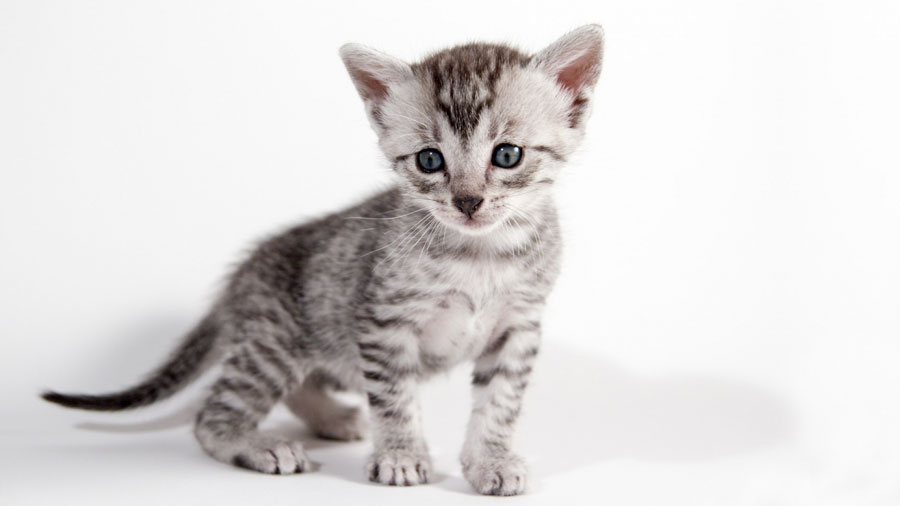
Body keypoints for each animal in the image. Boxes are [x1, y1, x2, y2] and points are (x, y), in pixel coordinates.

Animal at [42, 23, 604, 494]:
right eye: (430, 160)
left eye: (507, 155)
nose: (468, 201)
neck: (480, 254)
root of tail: (242, 275)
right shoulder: (384, 321)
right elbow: (394, 396)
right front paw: (400, 454)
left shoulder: (518, 328)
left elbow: (500, 403)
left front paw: (491, 460)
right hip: (275, 343)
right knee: (213, 415)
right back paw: (259, 445)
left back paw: (334, 418)